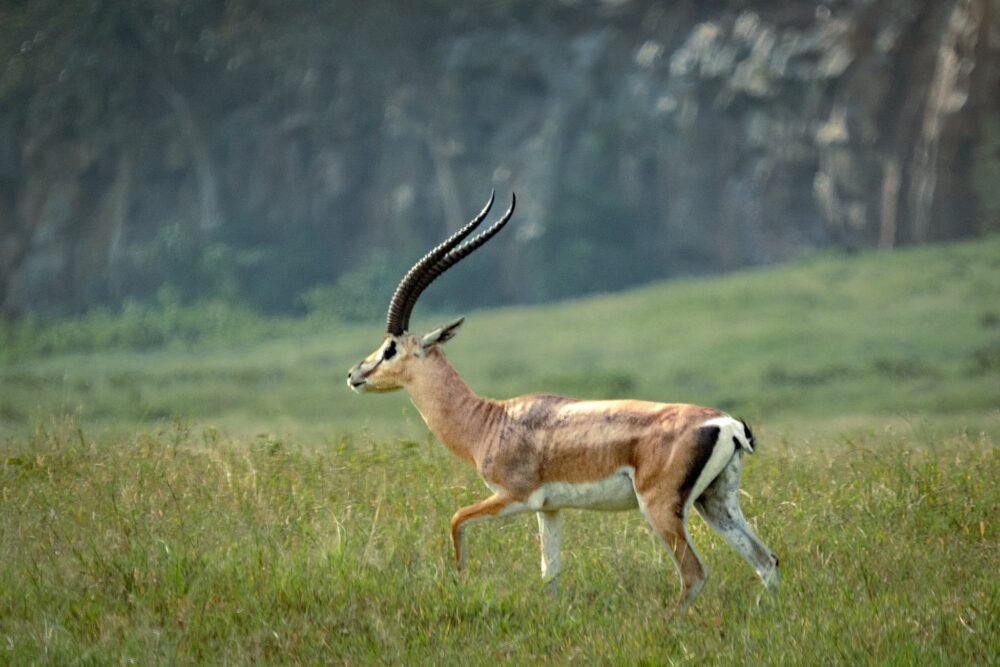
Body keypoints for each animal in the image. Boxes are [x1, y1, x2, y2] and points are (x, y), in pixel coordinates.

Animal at [348, 192, 776, 612]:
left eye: (390, 349)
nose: (355, 375)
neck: (489, 422)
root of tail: (727, 425)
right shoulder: (549, 509)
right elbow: (549, 574)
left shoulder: (514, 497)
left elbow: (456, 519)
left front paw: (461, 584)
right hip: (714, 502)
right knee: (766, 560)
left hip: (660, 508)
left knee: (695, 573)